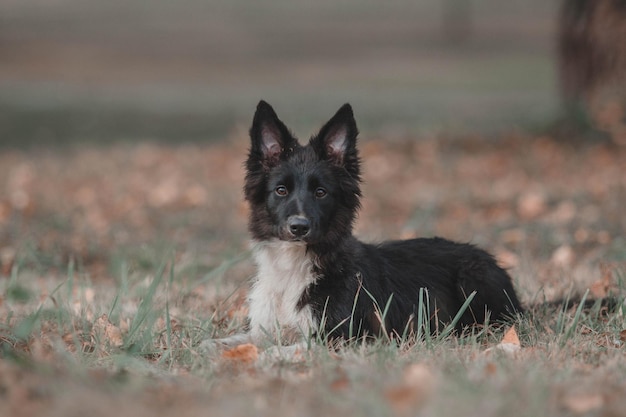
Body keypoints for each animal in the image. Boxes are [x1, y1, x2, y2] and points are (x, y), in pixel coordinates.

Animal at [204, 102, 516, 350]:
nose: (299, 227)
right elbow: (222, 343)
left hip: (472, 277)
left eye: (321, 192)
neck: (295, 268)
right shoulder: (263, 331)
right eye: (281, 190)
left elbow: (280, 350)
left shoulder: (338, 338)